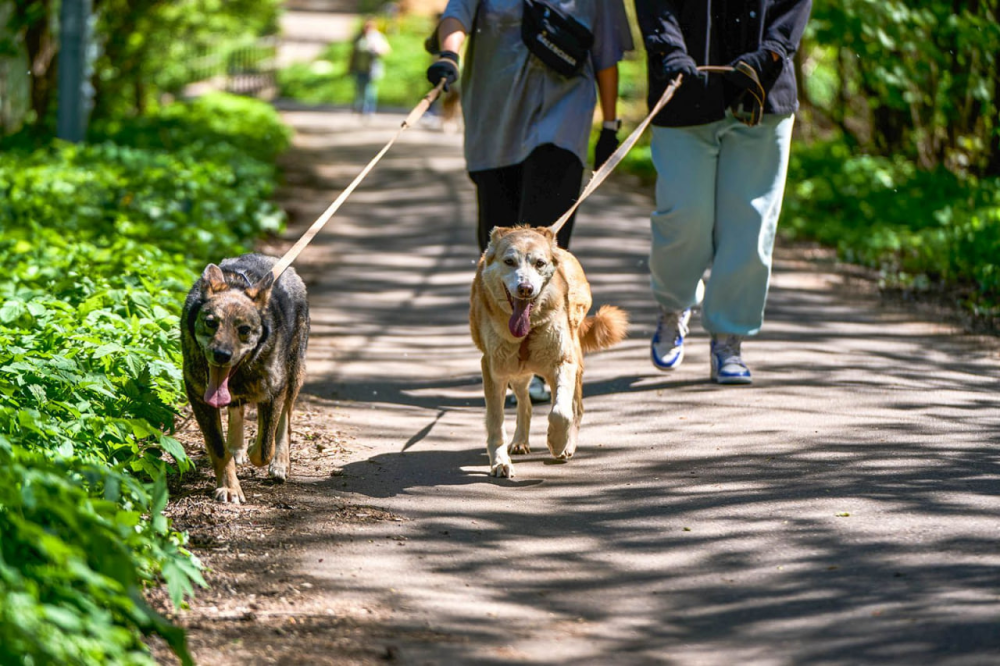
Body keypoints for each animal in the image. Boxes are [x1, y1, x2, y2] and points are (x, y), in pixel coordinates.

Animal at [468, 226, 624, 474]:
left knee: (576, 407)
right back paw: (520, 441)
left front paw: (557, 442)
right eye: (509, 261)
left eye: (539, 263)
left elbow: (561, 412)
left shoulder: (563, 362)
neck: (528, 329)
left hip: (571, 362)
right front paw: (500, 462)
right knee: (525, 402)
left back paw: (567, 445)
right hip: (516, 371)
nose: (525, 288)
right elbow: (496, 422)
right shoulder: (494, 370)